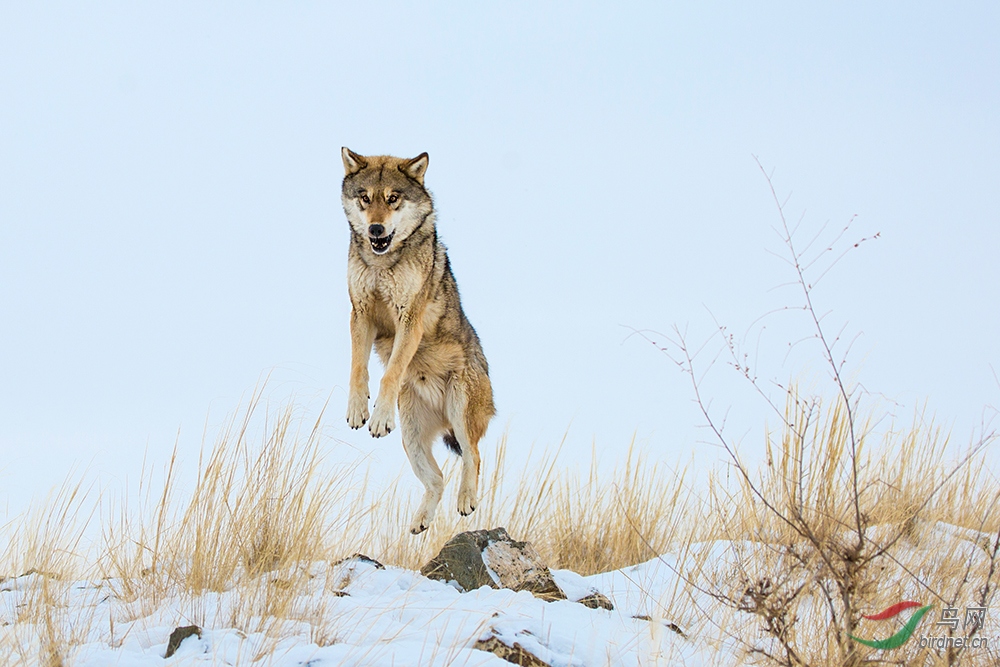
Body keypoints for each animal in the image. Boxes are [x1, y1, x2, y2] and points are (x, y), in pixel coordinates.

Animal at [340, 149, 496, 536]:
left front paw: (379, 416)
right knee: (437, 479)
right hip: (411, 439)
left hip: (459, 413)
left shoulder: (408, 319)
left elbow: (390, 372)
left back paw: (466, 501)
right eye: (365, 198)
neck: (382, 262)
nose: (376, 229)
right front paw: (358, 409)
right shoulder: (359, 312)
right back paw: (421, 521)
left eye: (393, 198)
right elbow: (357, 368)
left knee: (474, 456)